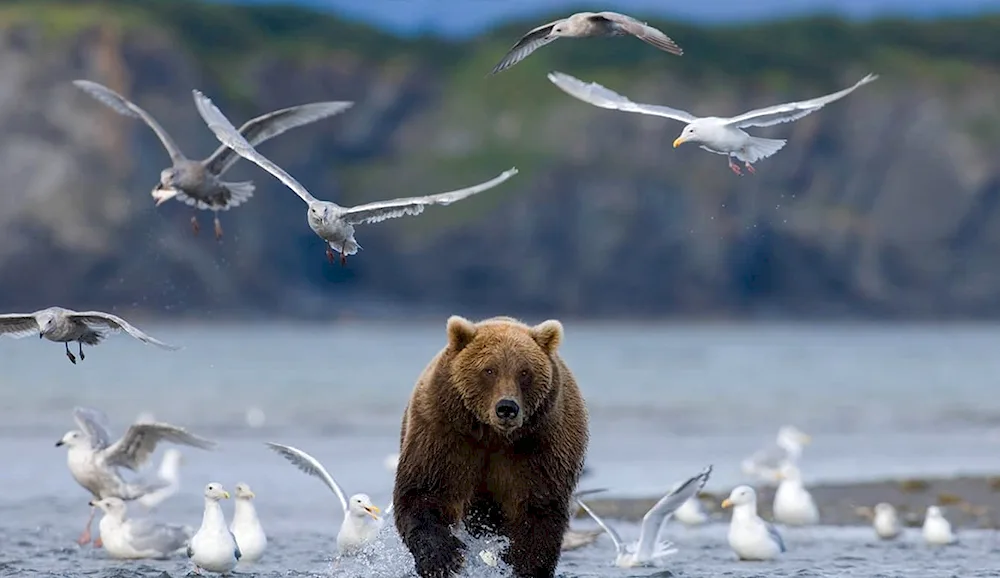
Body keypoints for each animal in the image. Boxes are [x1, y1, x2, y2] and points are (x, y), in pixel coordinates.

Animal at [392, 316, 592, 576]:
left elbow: (537, 509)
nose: (507, 407)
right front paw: (442, 559)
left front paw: (525, 566)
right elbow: (426, 491)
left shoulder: (541, 445)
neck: (492, 435)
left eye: (524, 372)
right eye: (489, 369)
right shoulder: (444, 433)